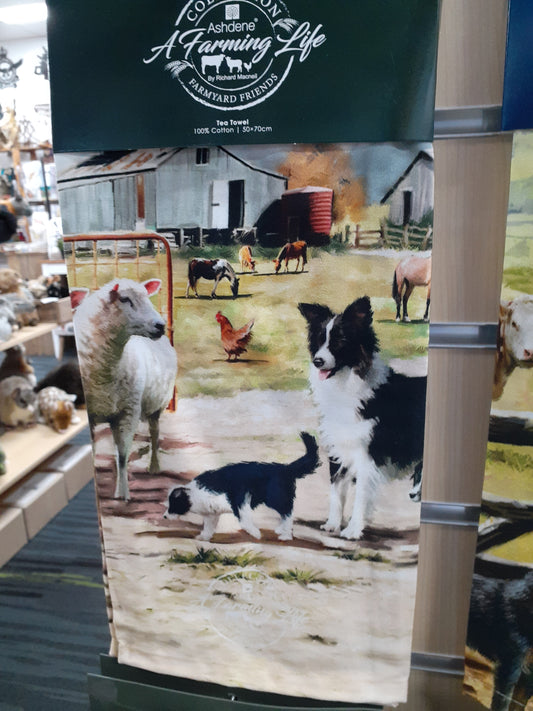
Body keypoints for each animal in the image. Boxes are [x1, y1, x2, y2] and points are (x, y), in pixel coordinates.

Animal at [74, 278, 178, 500]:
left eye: (147, 297)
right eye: (124, 299)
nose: (160, 326)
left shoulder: (128, 412)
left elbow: (122, 455)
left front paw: (122, 493)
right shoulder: (95, 415)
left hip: (156, 405)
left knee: (154, 434)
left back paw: (154, 466)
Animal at [164, 432, 318, 544]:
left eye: (174, 504)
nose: (164, 516)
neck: (196, 494)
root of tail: (285, 468)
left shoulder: (240, 499)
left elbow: (244, 521)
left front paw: (256, 533)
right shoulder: (212, 513)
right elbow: (208, 527)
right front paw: (203, 538)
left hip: (276, 497)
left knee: (288, 513)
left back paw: (286, 535)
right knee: (285, 513)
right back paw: (281, 530)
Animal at [298, 296, 426, 540]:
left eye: (340, 341)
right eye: (320, 340)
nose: (318, 361)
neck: (346, 384)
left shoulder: (368, 455)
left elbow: (361, 496)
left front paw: (352, 530)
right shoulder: (339, 449)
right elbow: (336, 490)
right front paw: (332, 524)